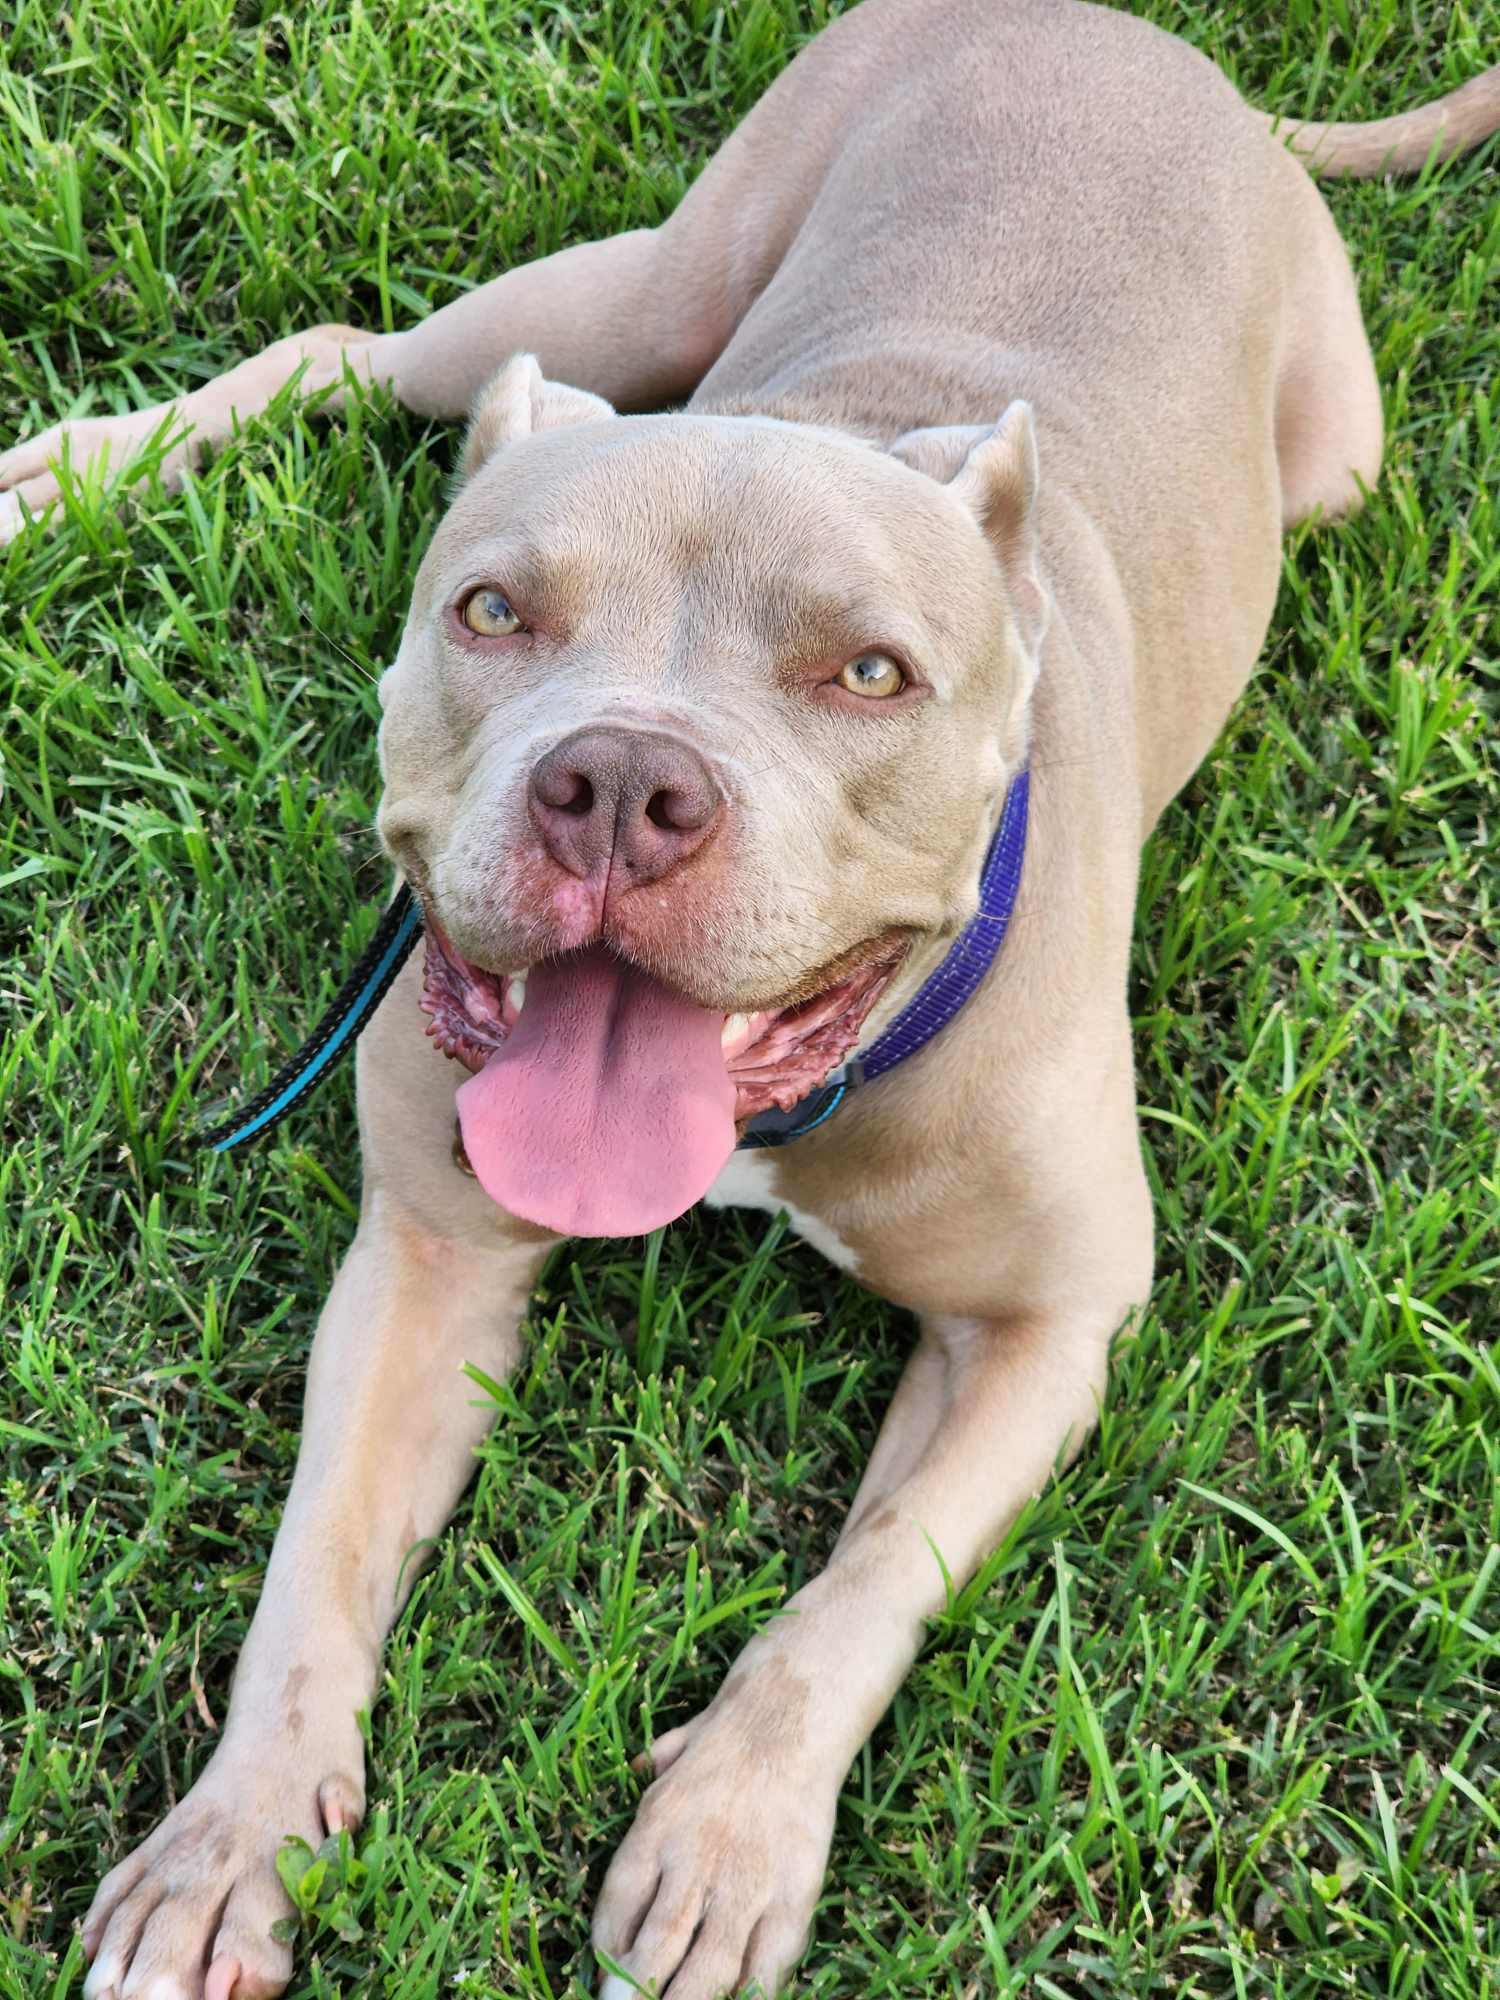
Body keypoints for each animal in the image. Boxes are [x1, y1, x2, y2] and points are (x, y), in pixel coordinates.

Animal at [8, 0, 1496, 1992]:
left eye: (872, 673)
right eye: (494, 613)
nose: (624, 782)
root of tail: (1159, 48)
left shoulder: (1046, 1326)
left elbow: (864, 1588)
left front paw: (721, 1840)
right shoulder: (427, 1253)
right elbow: (314, 1569)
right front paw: (226, 1847)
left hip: (1332, 459)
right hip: (639, 294)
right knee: (361, 350)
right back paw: (74, 474)